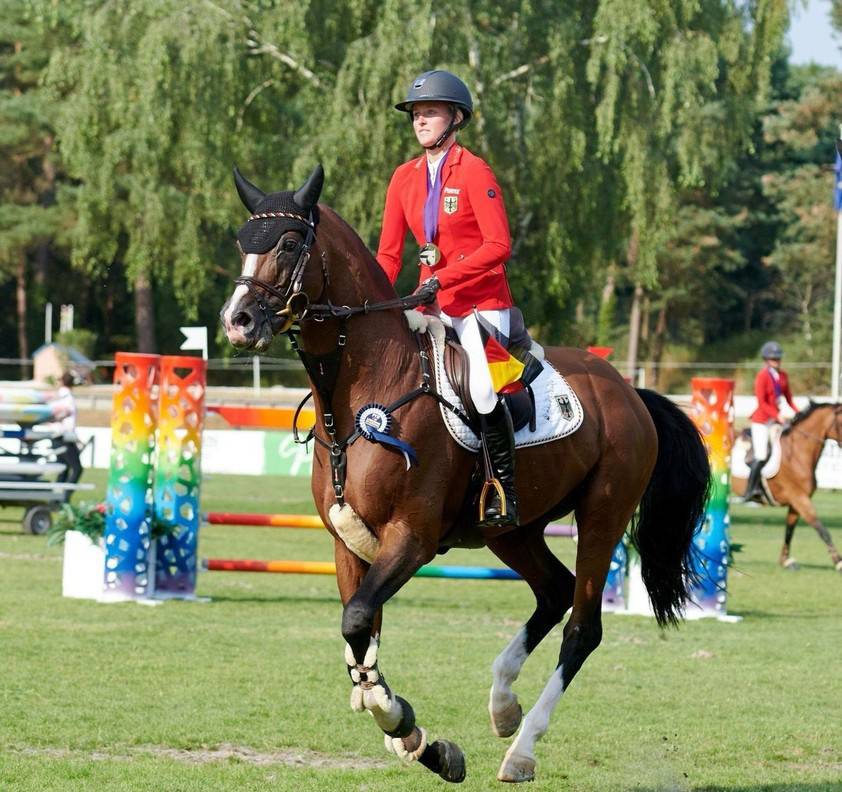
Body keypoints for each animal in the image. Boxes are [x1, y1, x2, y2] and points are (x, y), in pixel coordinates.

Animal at [220, 164, 704, 784]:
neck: (364, 389)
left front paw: (401, 722)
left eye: (287, 243)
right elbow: (360, 639)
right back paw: (503, 704)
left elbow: (357, 622)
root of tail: (629, 391)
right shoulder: (348, 545)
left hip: (603, 515)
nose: (238, 322)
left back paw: (521, 749)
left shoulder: (412, 537)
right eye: (242, 242)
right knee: (555, 590)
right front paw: (419, 741)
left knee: (582, 626)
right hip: (513, 530)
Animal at [728, 406, 840, 572]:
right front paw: (838, 561)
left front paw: (785, 561)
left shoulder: (796, 503)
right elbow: (822, 529)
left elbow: (789, 530)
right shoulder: (800, 499)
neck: (797, 453)